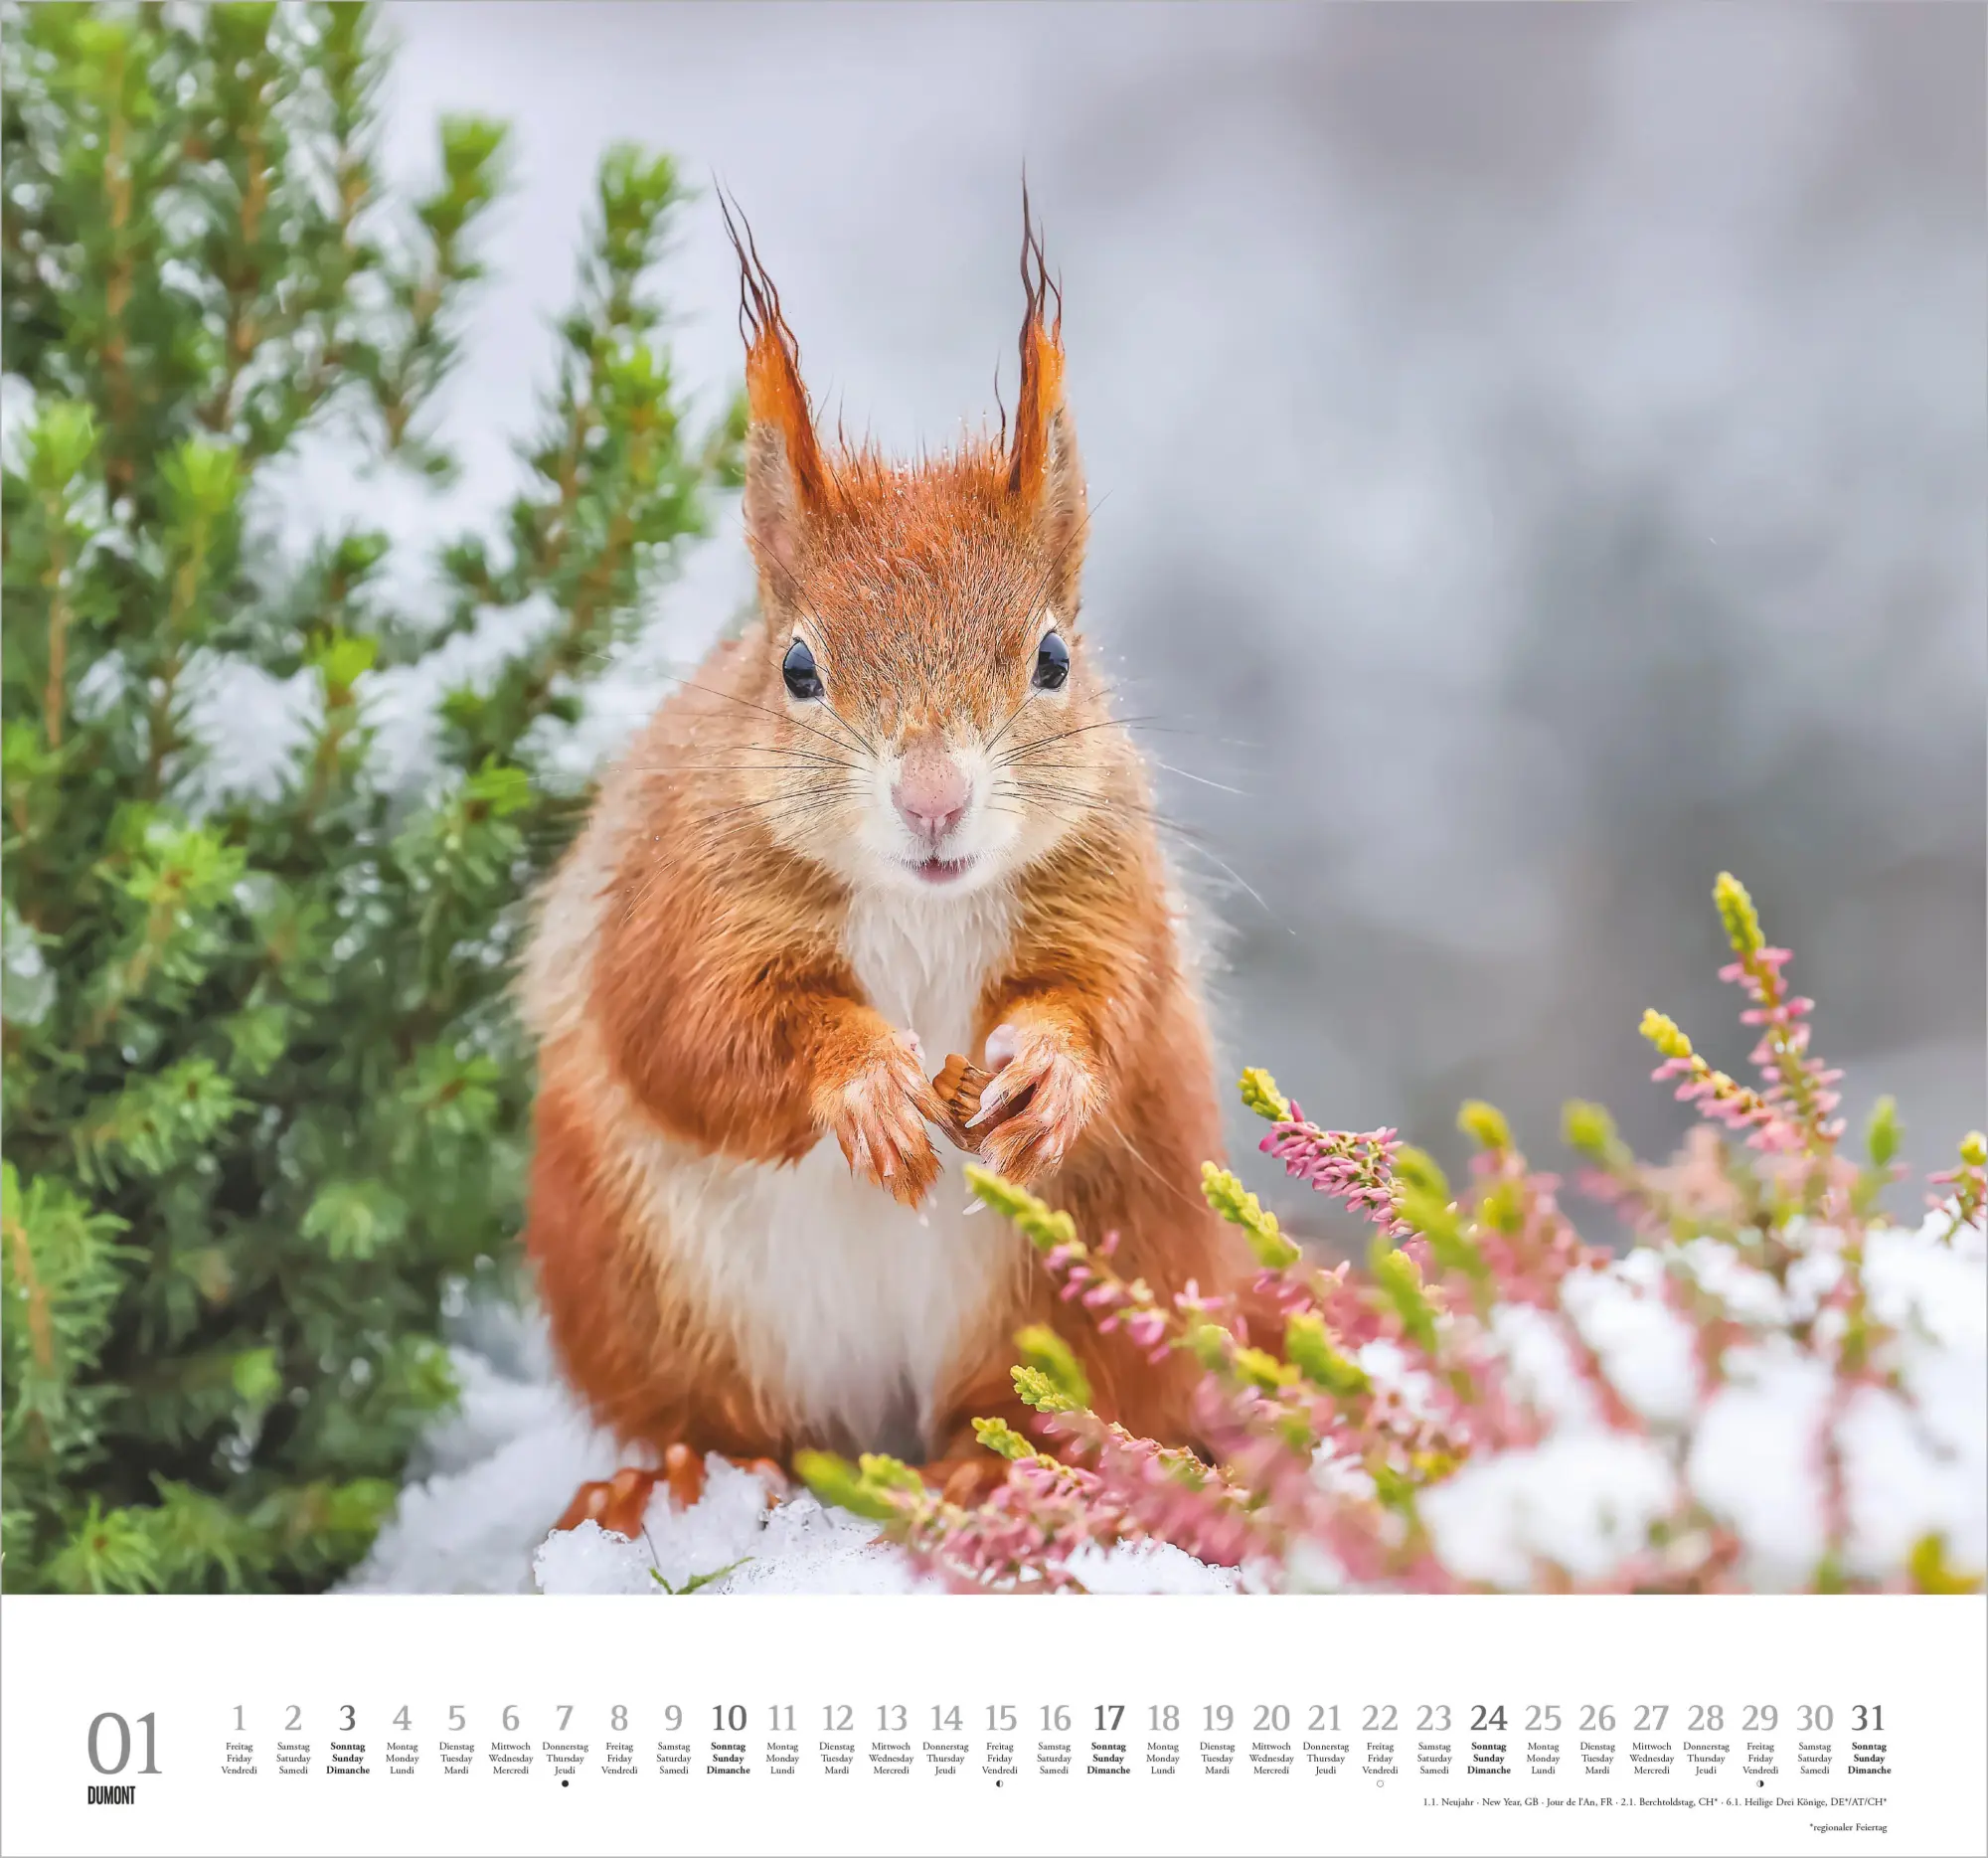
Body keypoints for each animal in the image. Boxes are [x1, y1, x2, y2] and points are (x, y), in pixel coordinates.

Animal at [522, 198, 1256, 1536]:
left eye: (1053, 658)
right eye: (795, 669)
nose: (931, 800)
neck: (921, 907)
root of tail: (882, 1427)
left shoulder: (1108, 887)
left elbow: (1107, 1003)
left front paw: (1051, 1070)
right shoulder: (674, 898)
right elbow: (689, 1029)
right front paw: (859, 1079)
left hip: (1099, 1259)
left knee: (1045, 1401)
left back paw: (1001, 1465)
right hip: (639, 1285)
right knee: (726, 1417)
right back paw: (686, 1474)